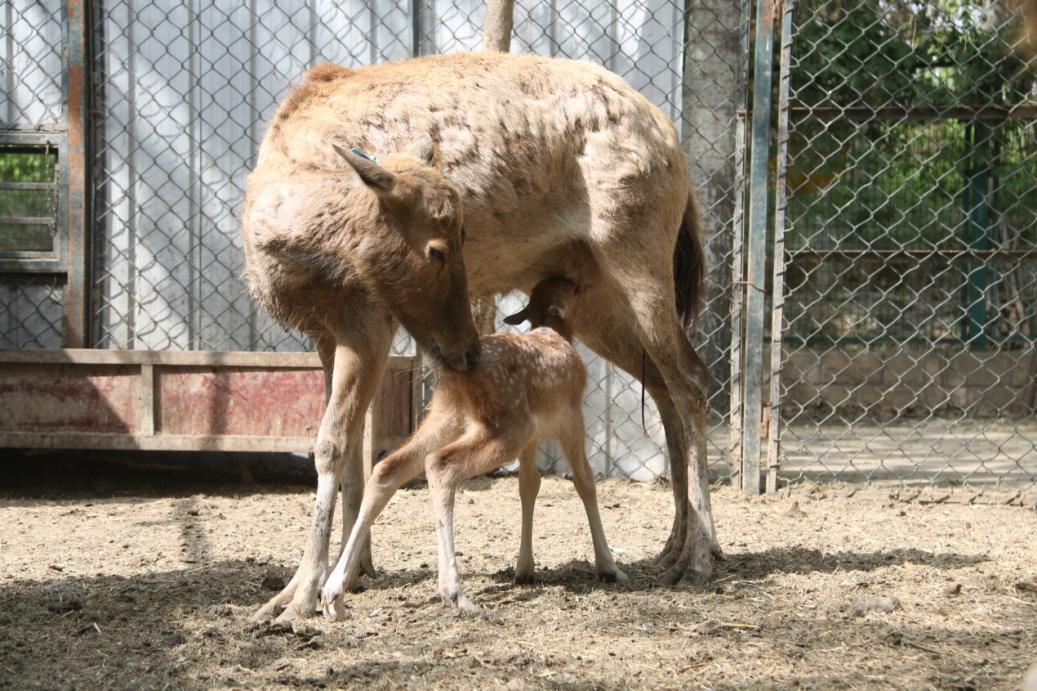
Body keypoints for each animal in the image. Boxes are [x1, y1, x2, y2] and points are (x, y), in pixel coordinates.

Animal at [240, 51, 721, 622]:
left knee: (691, 377)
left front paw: (301, 597)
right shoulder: (325, 330)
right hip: (596, 297)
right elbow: (354, 443)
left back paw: (700, 555)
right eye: (436, 250)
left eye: (462, 238)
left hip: (637, 252)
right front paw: (340, 578)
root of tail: (675, 146)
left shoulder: (367, 318)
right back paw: (673, 544)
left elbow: (333, 445)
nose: (467, 349)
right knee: (663, 385)